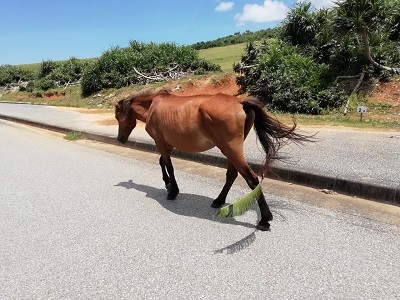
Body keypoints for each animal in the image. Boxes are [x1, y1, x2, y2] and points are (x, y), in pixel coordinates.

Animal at [114, 88, 308, 231]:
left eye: (117, 116)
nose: (120, 138)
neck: (153, 106)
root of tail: (240, 102)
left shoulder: (161, 143)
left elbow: (168, 166)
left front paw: (172, 190)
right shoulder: (168, 145)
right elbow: (162, 163)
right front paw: (168, 185)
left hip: (231, 149)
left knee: (252, 179)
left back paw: (264, 219)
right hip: (231, 151)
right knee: (232, 175)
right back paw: (218, 201)